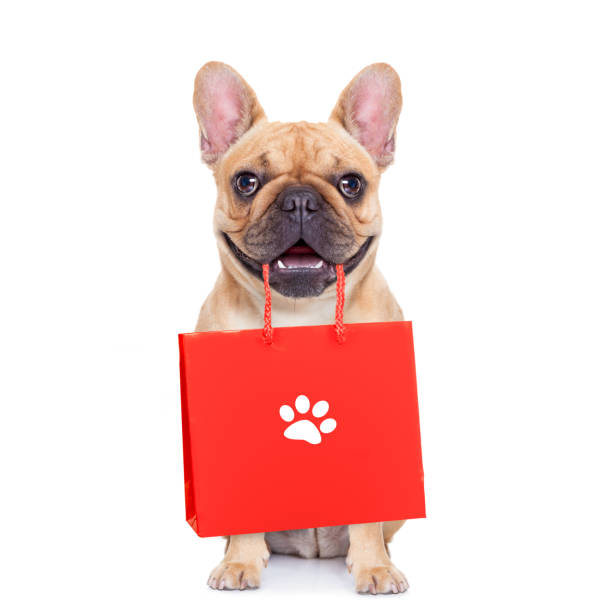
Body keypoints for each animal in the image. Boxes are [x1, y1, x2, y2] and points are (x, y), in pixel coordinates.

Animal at [194, 61, 408, 592]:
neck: (300, 314)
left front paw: (373, 567)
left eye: (351, 183)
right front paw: (240, 562)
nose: (299, 200)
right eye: (246, 182)